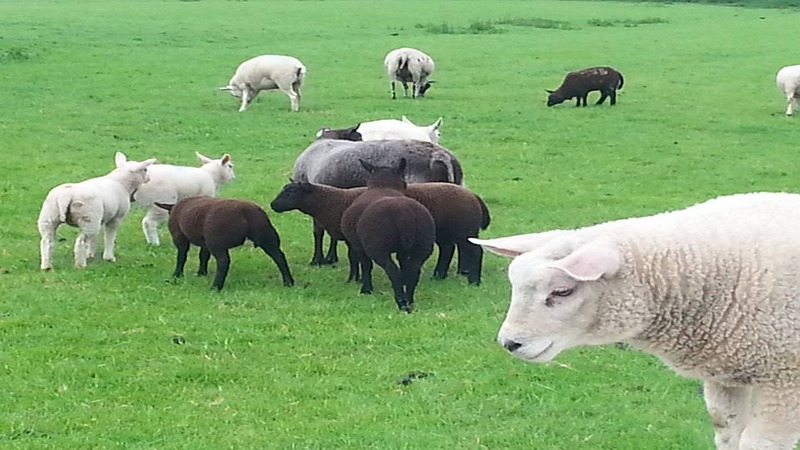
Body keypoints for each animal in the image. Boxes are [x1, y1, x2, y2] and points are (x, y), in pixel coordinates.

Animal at [156, 198, 294, 292]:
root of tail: (246, 213)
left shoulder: (180, 236)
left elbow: (182, 256)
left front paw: (177, 274)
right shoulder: (205, 241)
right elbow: (203, 256)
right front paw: (202, 273)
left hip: (217, 241)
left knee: (223, 261)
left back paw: (215, 287)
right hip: (267, 237)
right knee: (279, 256)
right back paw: (288, 282)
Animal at [272, 181, 490, 284]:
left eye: (291, 192)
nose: (273, 205)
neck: (332, 202)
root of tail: (474, 196)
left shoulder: (353, 238)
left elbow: (355, 259)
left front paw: (355, 279)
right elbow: (356, 259)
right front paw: (355, 278)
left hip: (465, 230)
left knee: (475, 252)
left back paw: (474, 281)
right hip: (446, 232)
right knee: (447, 250)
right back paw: (438, 275)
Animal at [340, 159, 434, 312]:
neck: (383, 186)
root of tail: (403, 212)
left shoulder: (358, 245)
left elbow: (366, 266)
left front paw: (366, 289)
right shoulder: (403, 251)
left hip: (378, 247)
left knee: (393, 271)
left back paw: (401, 303)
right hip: (423, 245)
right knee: (413, 272)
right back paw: (409, 301)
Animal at [468, 191, 800, 450]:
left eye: (562, 291)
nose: (510, 343)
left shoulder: (785, 379)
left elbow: (762, 443)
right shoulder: (725, 376)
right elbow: (726, 431)